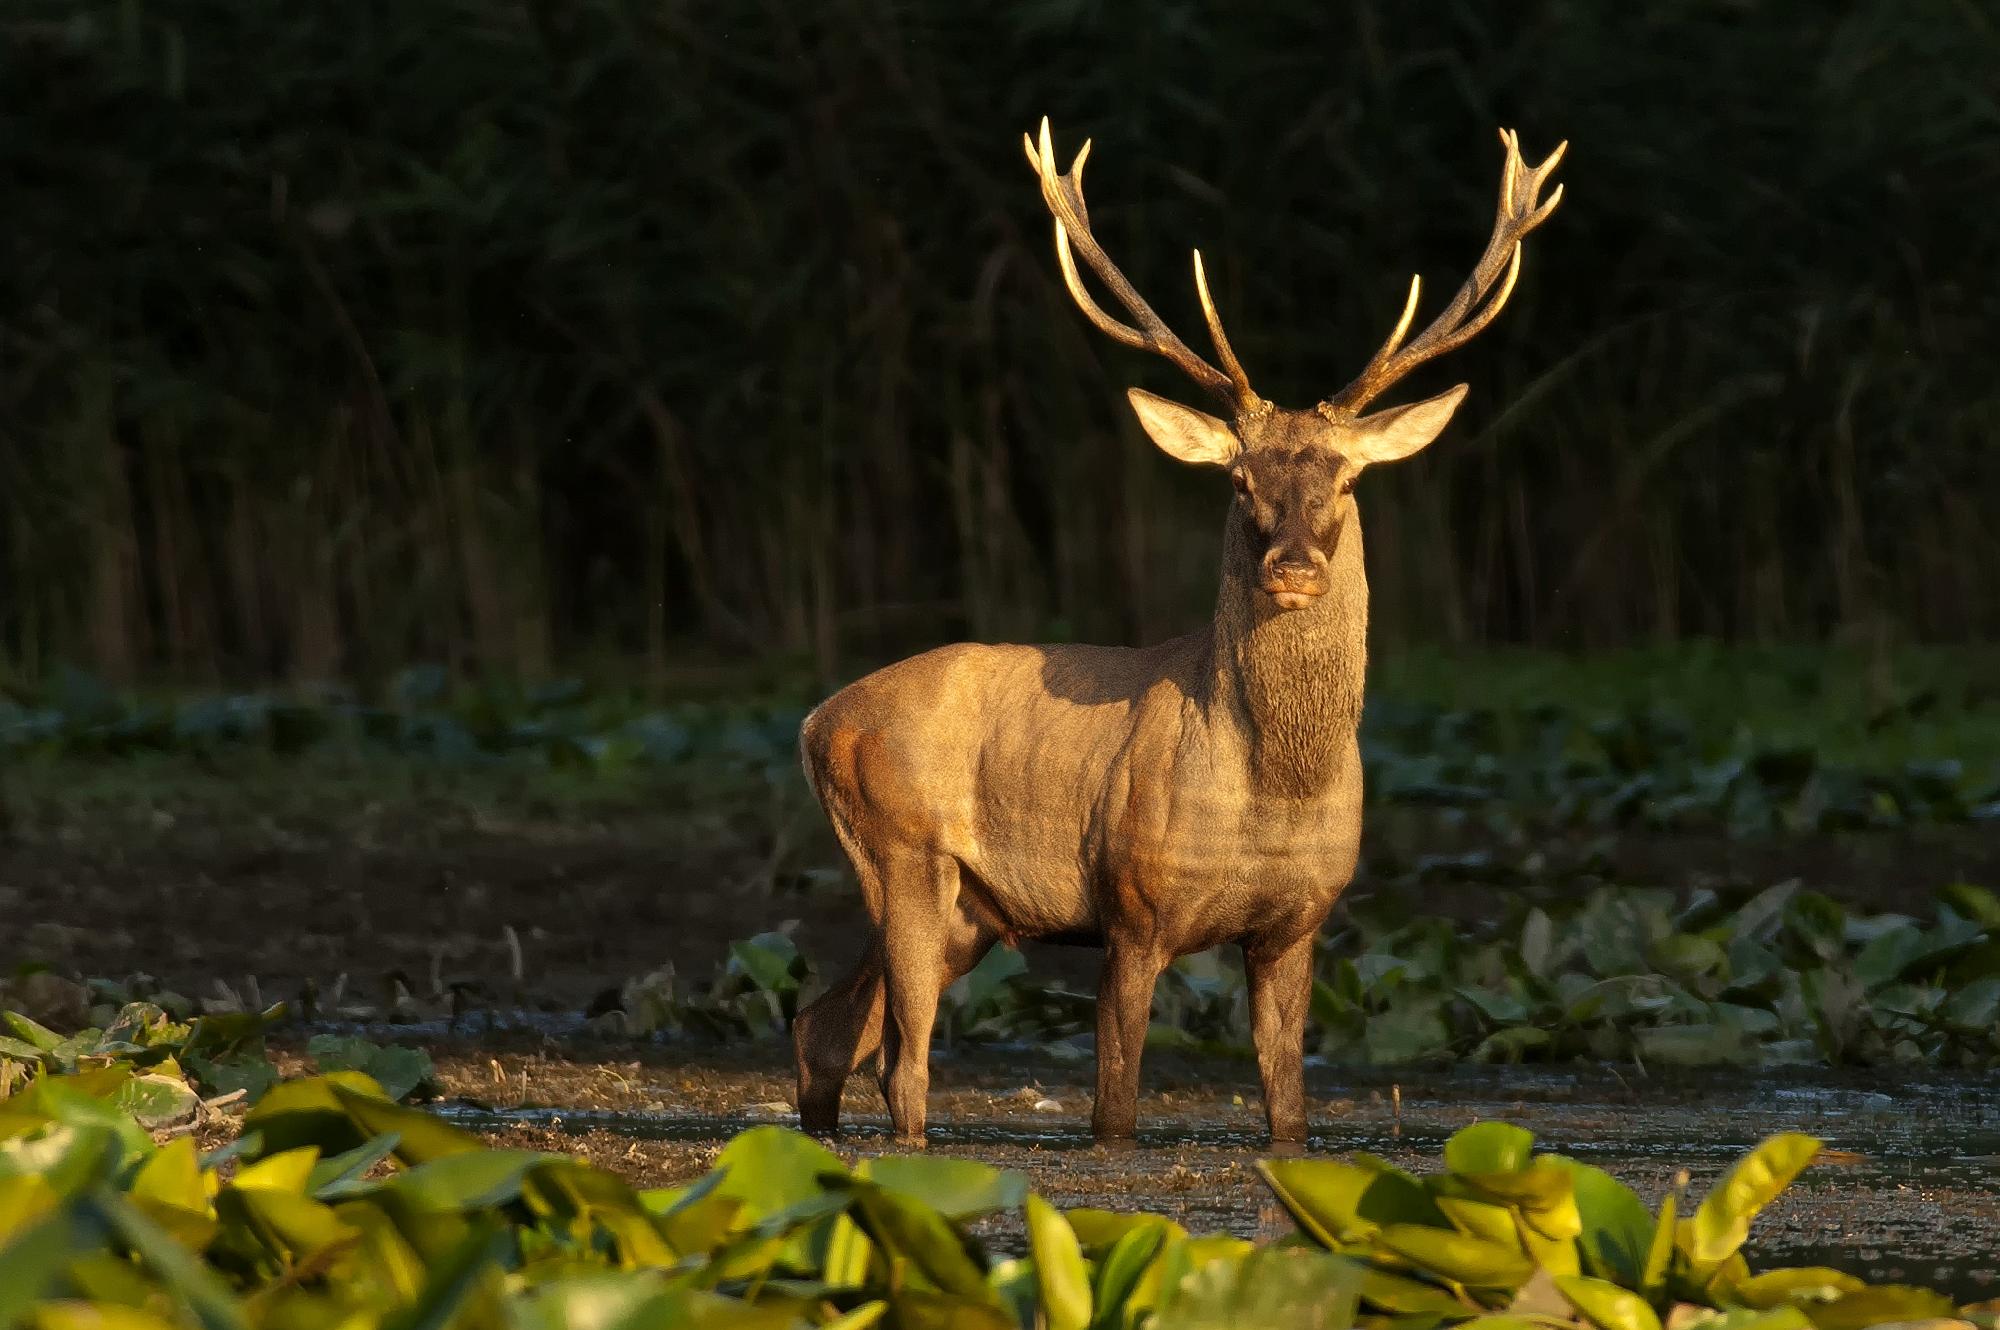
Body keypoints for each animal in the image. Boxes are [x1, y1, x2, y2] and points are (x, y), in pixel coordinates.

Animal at [792, 119, 1560, 1144]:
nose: (1293, 566)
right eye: (1238, 480)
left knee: (825, 1025)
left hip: (969, 911)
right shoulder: (1132, 905)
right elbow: (1114, 1110)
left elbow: (1289, 1113)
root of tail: (815, 722)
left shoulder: (1300, 923)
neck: (1268, 798)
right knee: (901, 1065)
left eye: (1348, 478)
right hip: (903, 851)